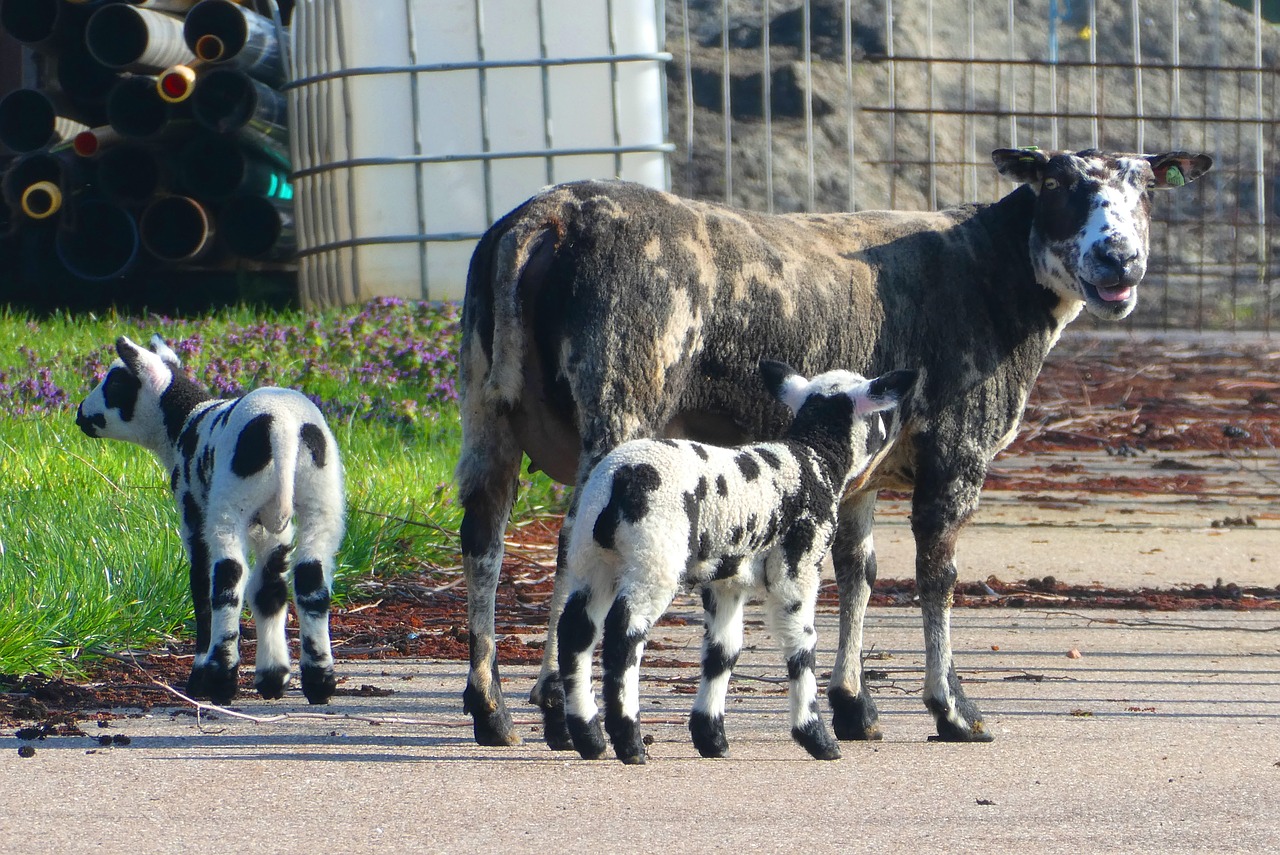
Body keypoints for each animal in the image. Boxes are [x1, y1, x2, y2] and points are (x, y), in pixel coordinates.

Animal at [76, 337, 345, 706]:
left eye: (115, 384)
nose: (80, 414)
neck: (185, 421)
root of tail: (284, 429)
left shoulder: (193, 512)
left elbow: (201, 586)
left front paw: (200, 677)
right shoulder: (271, 531)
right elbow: (269, 591)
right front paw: (273, 678)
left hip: (229, 503)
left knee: (227, 582)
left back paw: (220, 680)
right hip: (320, 499)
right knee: (310, 580)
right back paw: (320, 682)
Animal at [560, 358, 921, 762]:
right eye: (882, 415)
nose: (894, 442)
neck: (813, 456)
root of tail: (619, 480)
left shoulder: (727, 582)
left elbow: (723, 652)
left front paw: (711, 738)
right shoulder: (798, 568)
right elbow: (801, 645)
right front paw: (816, 737)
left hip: (590, 557)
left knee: (576, 632)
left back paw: (589, 737)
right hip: (654, 559)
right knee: (624, 634)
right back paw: (629, 741)